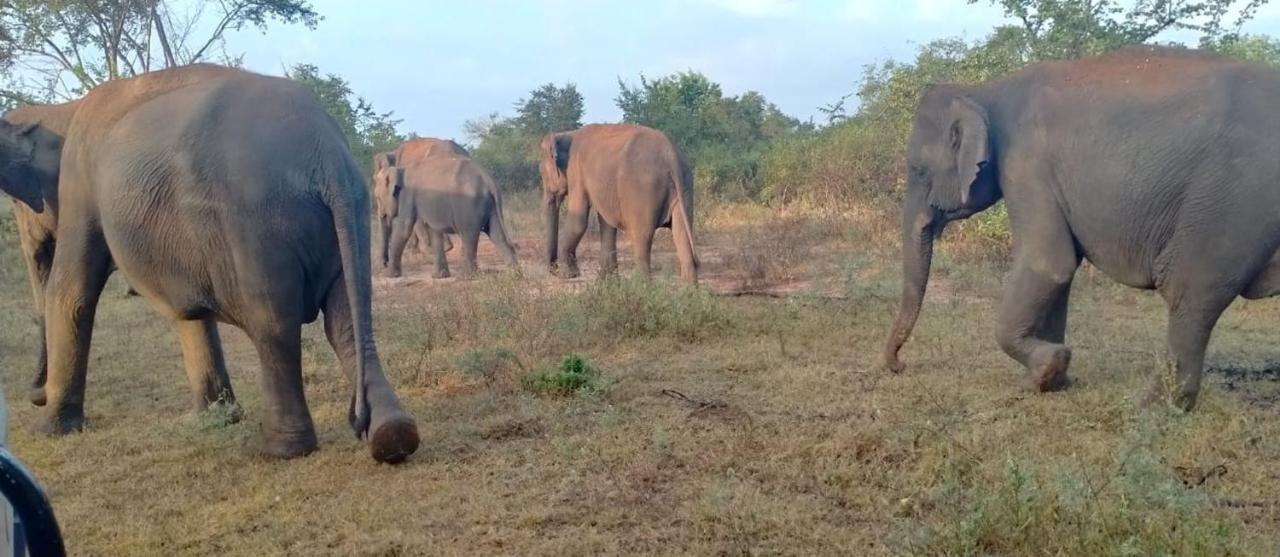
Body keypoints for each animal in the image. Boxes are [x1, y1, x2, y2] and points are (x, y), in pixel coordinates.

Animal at [0, 64, 419, 463]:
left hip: (255, 219)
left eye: (21, 202)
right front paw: (218, 416)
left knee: (274, 322)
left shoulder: (79, 182)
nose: (36, 396)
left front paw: (47, 429)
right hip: (349, 210)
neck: (61, 112)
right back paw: (392, 435)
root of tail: (325, 151)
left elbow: (70, 294)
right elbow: (188, 312)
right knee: (346, 318)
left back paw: (279, 449)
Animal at [373, 150, 519, 279]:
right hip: (489, 205)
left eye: (378, 198)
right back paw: (514, 272)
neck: (400, 169)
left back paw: (465, 277)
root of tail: (488, 180)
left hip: (469, 205)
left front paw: (389, 275)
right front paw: (439, 276)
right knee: (496, 234)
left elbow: (404, 227)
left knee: (468, 235)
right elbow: (434, 231)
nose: (384, 264)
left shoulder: (407, 195)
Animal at [540, 124, 701, 281]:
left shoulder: (576, 172)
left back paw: (639, 283)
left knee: (642, 234)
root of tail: (671, 156)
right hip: (685, 186)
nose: (554, 269)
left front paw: (569, 275)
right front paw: (607, 279)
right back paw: (688, 288)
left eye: (542, 174)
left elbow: (578, 220)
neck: (567, 133)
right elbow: (606, 223)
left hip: (643, 189)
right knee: (680, 233)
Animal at [885, 46, 1280, 414]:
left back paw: (1150, 408)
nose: (899, 365)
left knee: (1191, 293)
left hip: (1231, 202)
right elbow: (1060, 272)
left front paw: (1044, 371)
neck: (984, 90)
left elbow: (1049, 263)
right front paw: (1052, 381)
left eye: (918, 169)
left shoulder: (1026, 164)